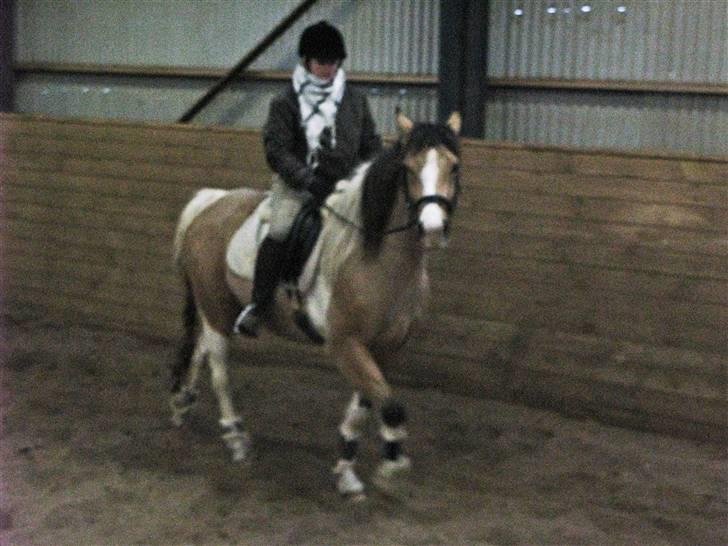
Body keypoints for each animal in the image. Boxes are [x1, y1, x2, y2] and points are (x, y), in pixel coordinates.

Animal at [169, 108, 460, 496]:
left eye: (453, 167)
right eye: (408, 169)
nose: (431, 228)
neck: (375, 259)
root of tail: (211, 202)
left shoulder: (384, 349)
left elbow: (366, 406)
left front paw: (347, 470)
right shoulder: (345, 344)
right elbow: (391, 406)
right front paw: (392, 466)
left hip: (216, 306)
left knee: (199, 348)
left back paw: (183, 403)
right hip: (216, 308)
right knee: (219, 369)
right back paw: (236, 436)